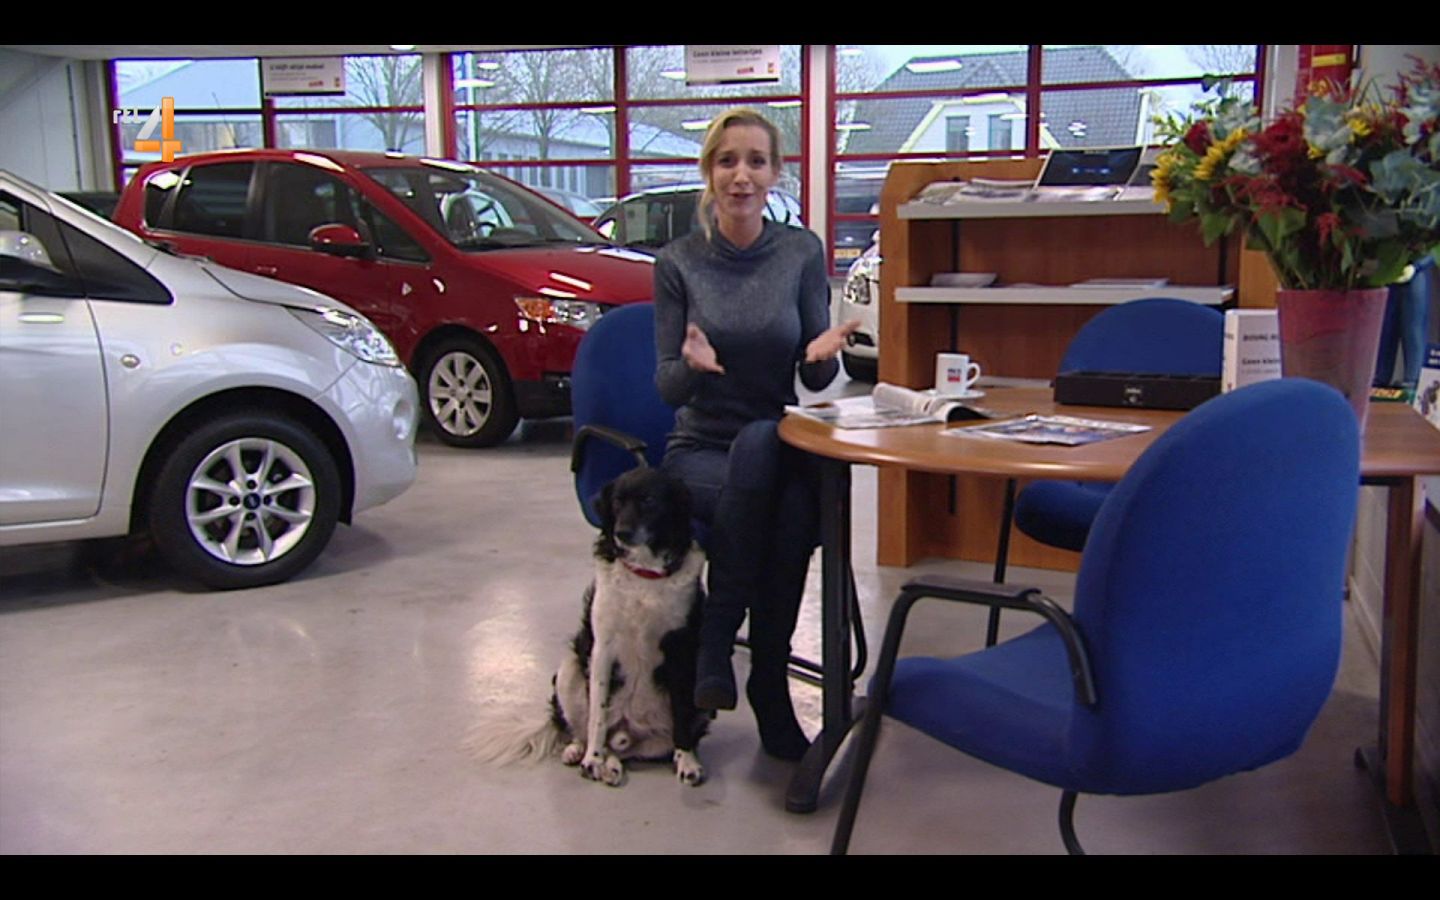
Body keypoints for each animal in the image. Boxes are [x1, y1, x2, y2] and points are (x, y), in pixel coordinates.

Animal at [470, 466, 709, 787]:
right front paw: (592, 760)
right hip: (568, 670)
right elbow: (598, 714)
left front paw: (687, 762)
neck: (643, 575)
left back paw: (615, 764)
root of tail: (626, 735)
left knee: (626, 749)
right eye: (617, 502)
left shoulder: (681, 650)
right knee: (586, 732)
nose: (622, 532)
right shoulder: (603, 649)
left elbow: (682, 714)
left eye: (649, 501)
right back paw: (584, 754)